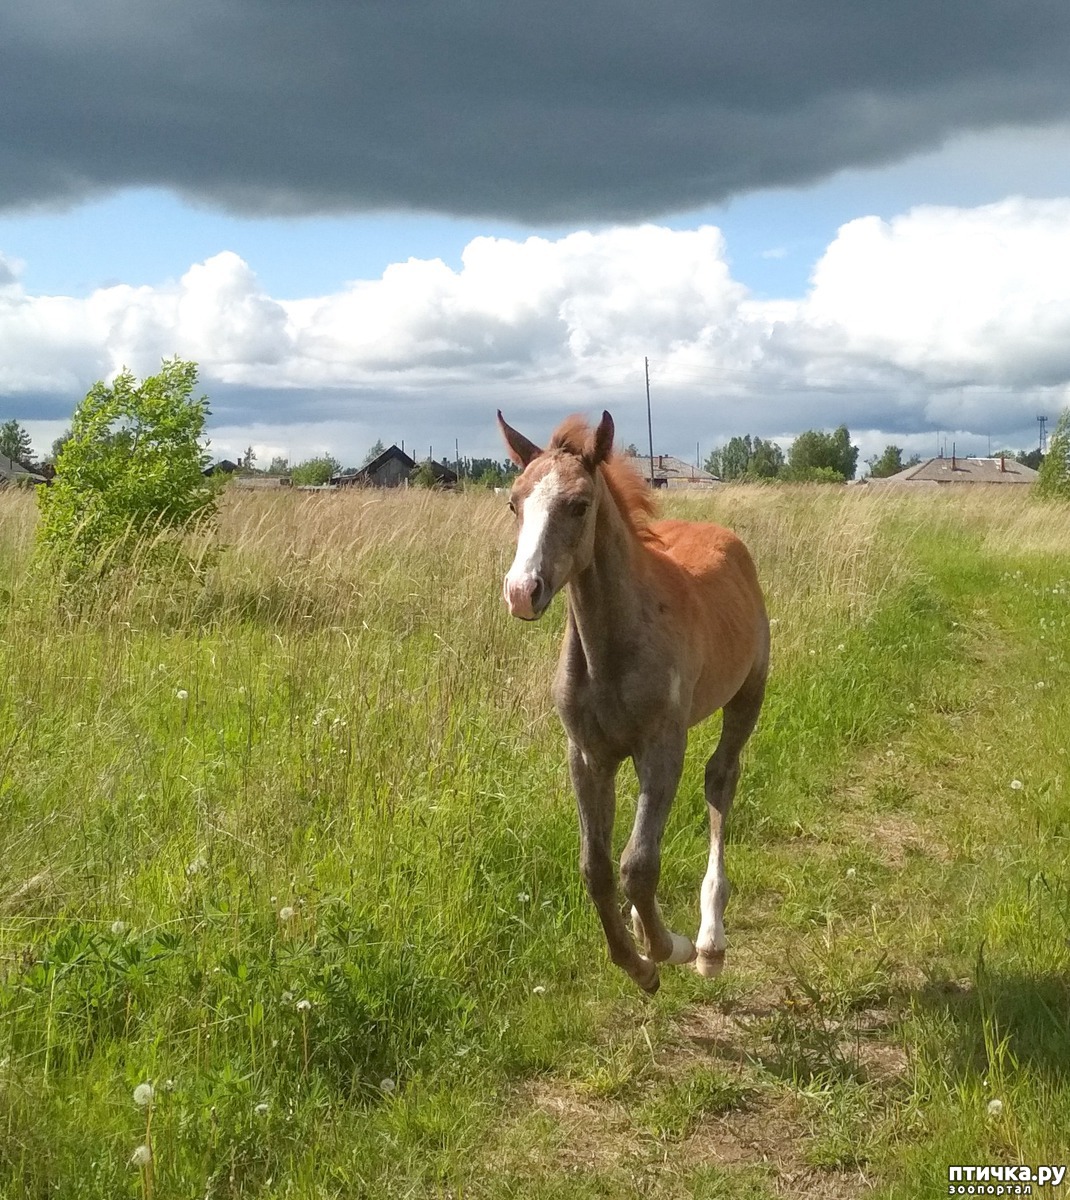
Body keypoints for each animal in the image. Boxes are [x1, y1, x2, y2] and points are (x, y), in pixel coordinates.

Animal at [496, 412, 762, 993]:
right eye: (514, 502)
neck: (610, 650)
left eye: (579, 505)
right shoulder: (588, 755)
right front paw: (637, 964)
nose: (522, 591)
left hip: (747, 695)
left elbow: (638, 865)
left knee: (720, 781)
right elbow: (596, 867)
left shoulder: (663, 745)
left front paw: (670, 949)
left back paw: (709, 942)